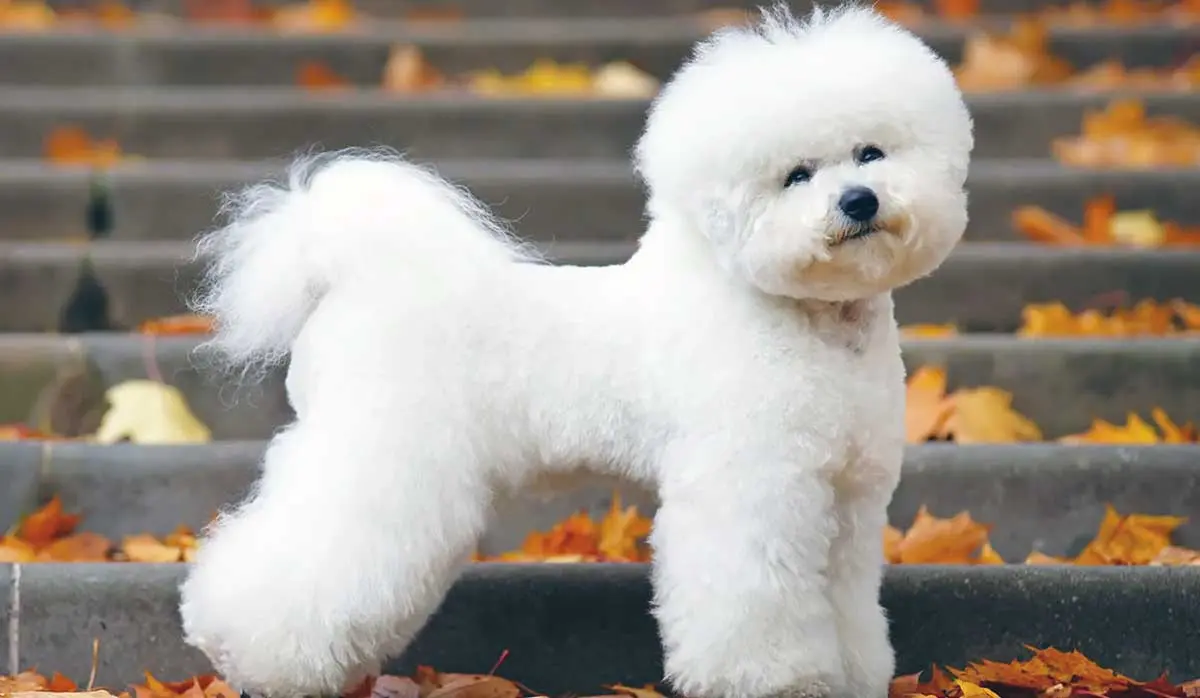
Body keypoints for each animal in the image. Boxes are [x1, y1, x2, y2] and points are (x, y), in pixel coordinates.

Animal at [177, 5, 969, 698]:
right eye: (795, 176)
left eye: (871, 152)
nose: (860, 201)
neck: (808, 321)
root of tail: (346, 277)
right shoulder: (753, 486)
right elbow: (751, 596)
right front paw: (774, 680)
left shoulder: (847, 498)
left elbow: (847, 598)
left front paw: (854, 676)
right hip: (385, 457)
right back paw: (253, 656)